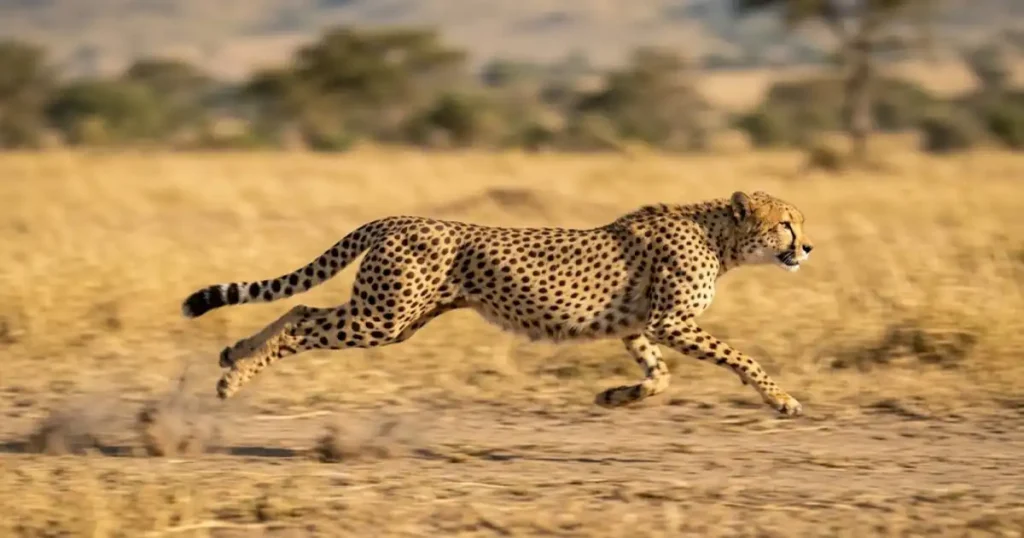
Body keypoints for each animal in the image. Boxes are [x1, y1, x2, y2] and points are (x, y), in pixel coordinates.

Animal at [181, 190, 814, 416]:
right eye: (786, 222)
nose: (807, 247)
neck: (720, 236)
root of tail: (397, 217)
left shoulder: (638, 326)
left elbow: (659, 378)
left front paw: (615, 396)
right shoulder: (671, 322)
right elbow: (742, 357)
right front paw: (782, 399)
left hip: (398, 318)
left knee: (300, 311)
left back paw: (234, 354)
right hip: (384, 317)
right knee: (301, 325)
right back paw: (233, 380)